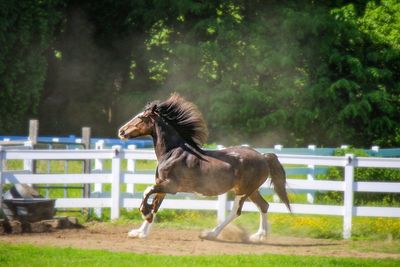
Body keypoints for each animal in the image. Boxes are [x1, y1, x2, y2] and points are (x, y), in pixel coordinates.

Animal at [117, 94, 290, 243]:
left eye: (141, 117)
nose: (121, 131)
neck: (172, 153)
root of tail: (263, 157)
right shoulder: (162, 186)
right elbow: (155, 206)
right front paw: (139, 232)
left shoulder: (171, 186)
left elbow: (147, 192)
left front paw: (144, 213)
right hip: (251, 190)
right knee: (264, 206)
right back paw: (259, 236)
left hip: (243, 191)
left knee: (236, 211)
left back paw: (210, 234)